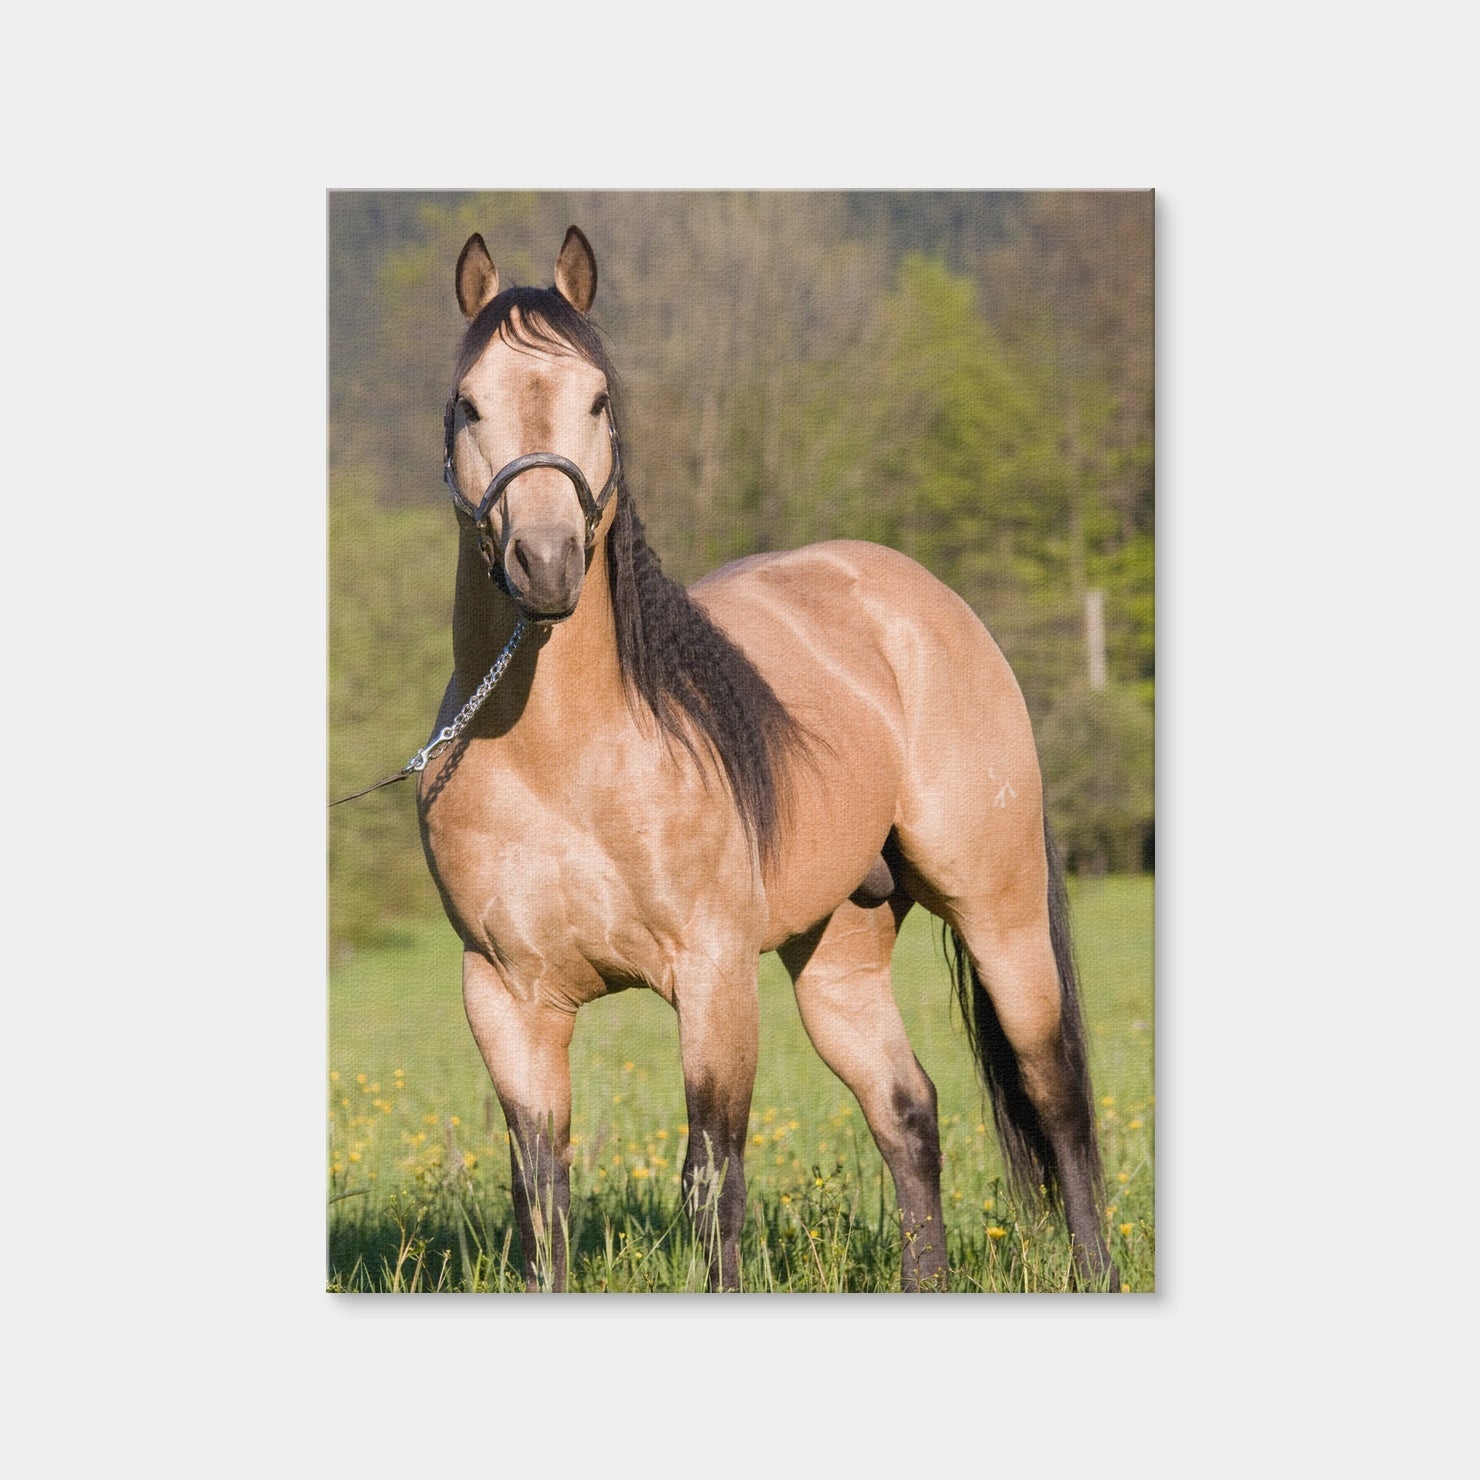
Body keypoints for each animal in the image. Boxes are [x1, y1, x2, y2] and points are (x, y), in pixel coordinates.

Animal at [412, 224, 1119, 1292]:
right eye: (469, 401)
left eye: (599, 398)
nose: (546, 561)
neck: (560, 760)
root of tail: (925, 601)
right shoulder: (505, 997)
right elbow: (542, 1200)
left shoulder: (711, 977)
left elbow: (713, 1180)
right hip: (837, 957)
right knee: (907, 1112)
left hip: (999, 912)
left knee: (1055, 1093)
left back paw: (1096, 1270)